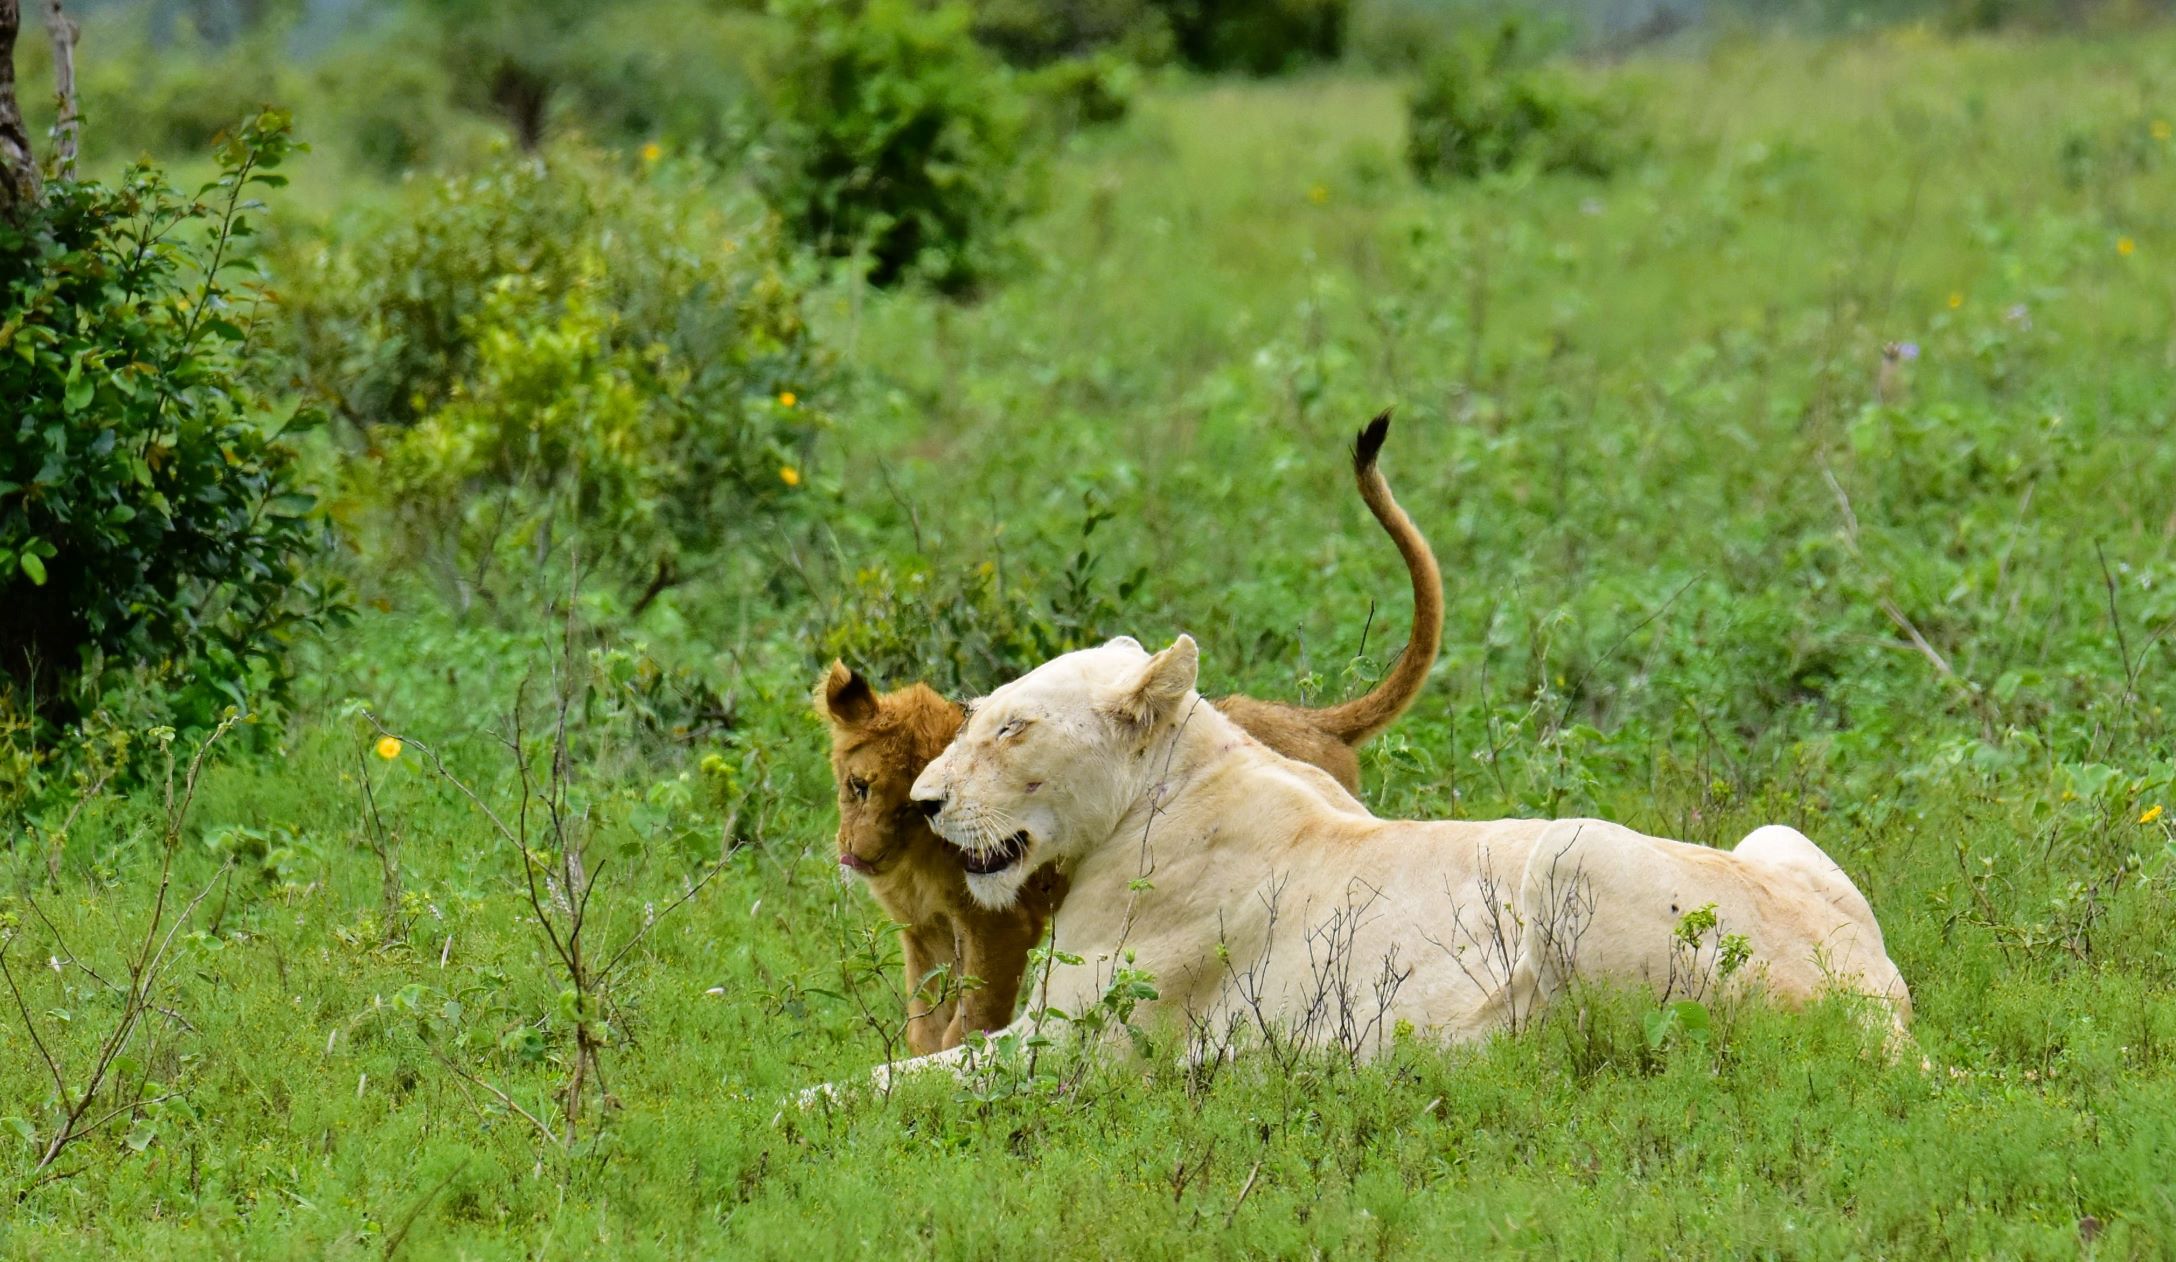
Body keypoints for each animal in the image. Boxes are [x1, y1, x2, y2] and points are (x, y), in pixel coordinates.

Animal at [809, 634, 1909, 1096]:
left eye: (1013, 727)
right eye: (975, 716)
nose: (926, 803)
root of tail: (1879, 1013)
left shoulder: (1076, 1049)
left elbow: (883, 1079)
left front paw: (787, 1114)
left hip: (1571, 850)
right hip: (1776, 836)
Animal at [817, 412, 1444, 1056]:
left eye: (1012, 729)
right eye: (857, 787)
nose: (858, 855)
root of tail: (1313, 719)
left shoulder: (1005, 935)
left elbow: (967, 1025)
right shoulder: (922, 932)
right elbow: (923, 1023)